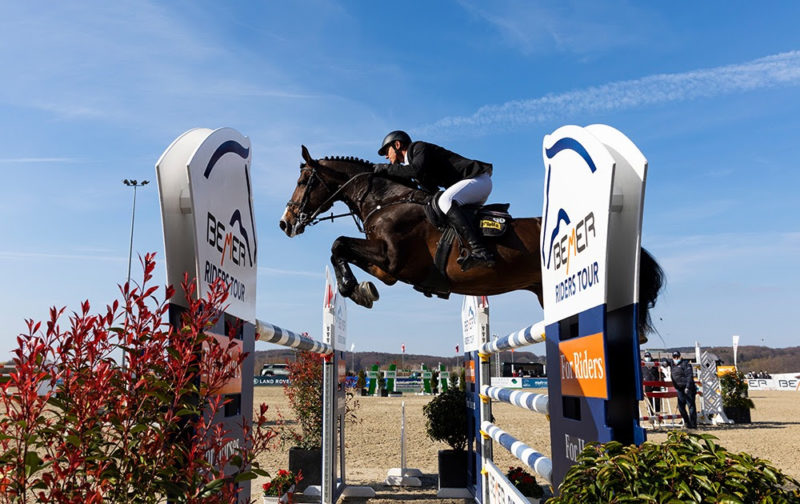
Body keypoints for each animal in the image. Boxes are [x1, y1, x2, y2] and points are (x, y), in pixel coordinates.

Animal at [278, 147, 664, 338]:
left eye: (303, 180)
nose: (285, 223)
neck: (385, 200)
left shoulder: (392, 258)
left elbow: (338, 243)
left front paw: (353, 288)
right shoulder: (388, 270)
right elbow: (342, 248)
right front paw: (361, 290)